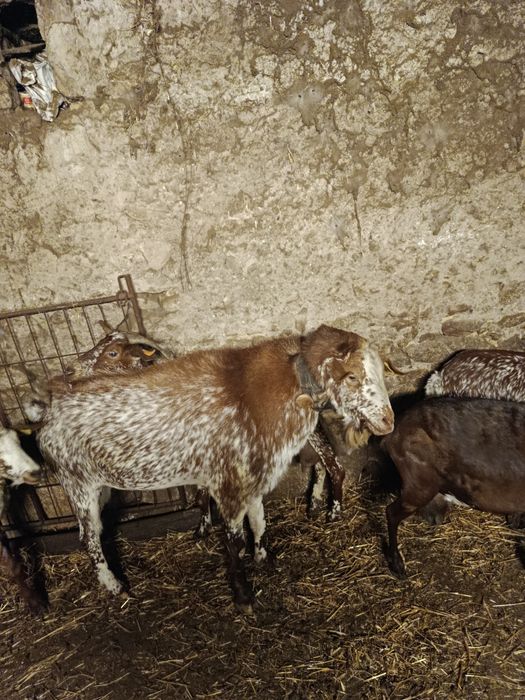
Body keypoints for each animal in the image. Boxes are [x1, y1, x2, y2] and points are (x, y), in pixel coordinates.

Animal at [37, 325, 394, 612]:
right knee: (88, 537)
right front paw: (243, 597)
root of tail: (47, 414)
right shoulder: (228, 483)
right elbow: (233, 539)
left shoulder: (254, 474)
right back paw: (114, 586)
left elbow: (259, 520)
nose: (387, 421)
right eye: (352, 376)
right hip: (77, 484)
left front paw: (263, 558)